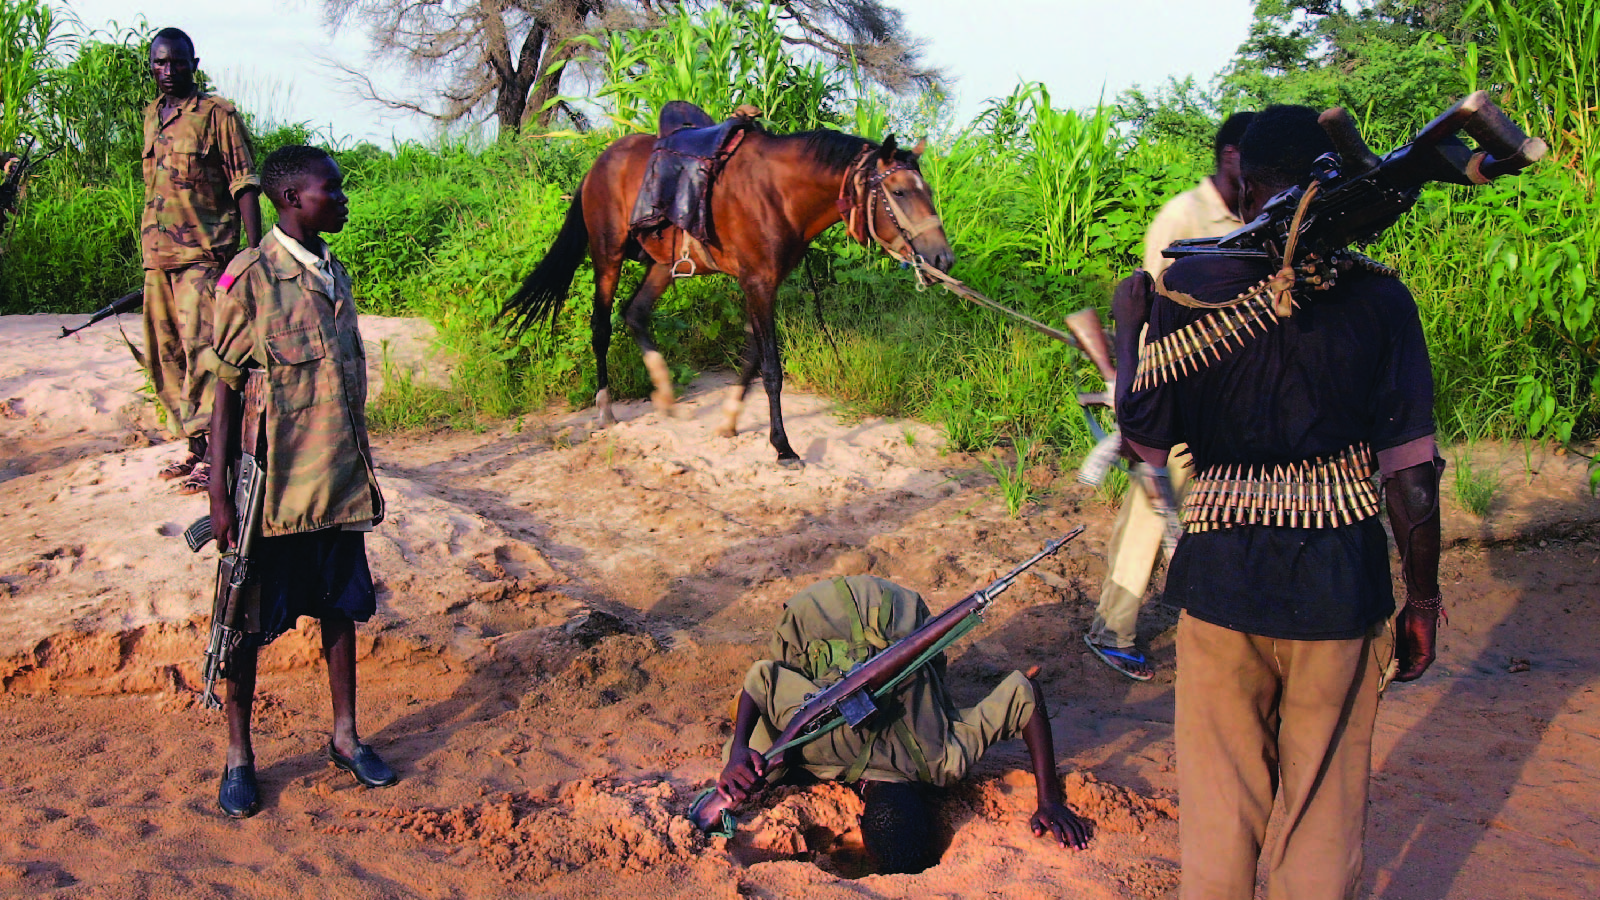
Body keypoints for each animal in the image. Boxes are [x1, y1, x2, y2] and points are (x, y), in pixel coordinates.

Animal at [502, 121, 947, 461]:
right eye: (900, 192)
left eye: (927, 191)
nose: (942, 258)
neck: (778, 193)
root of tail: (599, 163)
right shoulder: (758, 283)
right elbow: (771, 369)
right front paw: (783, 447)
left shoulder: (761, 283)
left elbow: (751, 358)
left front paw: (730, 421)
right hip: (606, 256)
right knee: (601, 327)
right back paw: (606, 408)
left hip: (662, 265)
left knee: (635, 314)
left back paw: (665, 393)